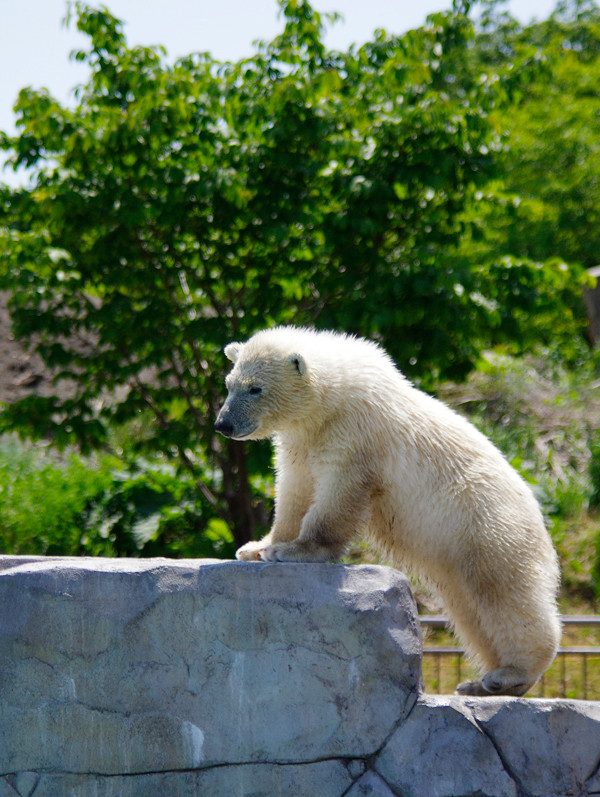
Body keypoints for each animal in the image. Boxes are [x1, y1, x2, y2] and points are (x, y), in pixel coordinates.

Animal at [217, 326, 564, 692]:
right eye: (229, 384)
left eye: (255, 388)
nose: (222, 424)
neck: (331, 401)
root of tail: (541, 524)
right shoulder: (302, 441)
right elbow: (294, 491)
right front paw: (257, 547)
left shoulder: (355, 436)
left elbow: (336, 496)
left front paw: (295, 551)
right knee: (469, 610)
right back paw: (479, 682)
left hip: (487, 527)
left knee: (503, 593)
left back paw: (509, 674)